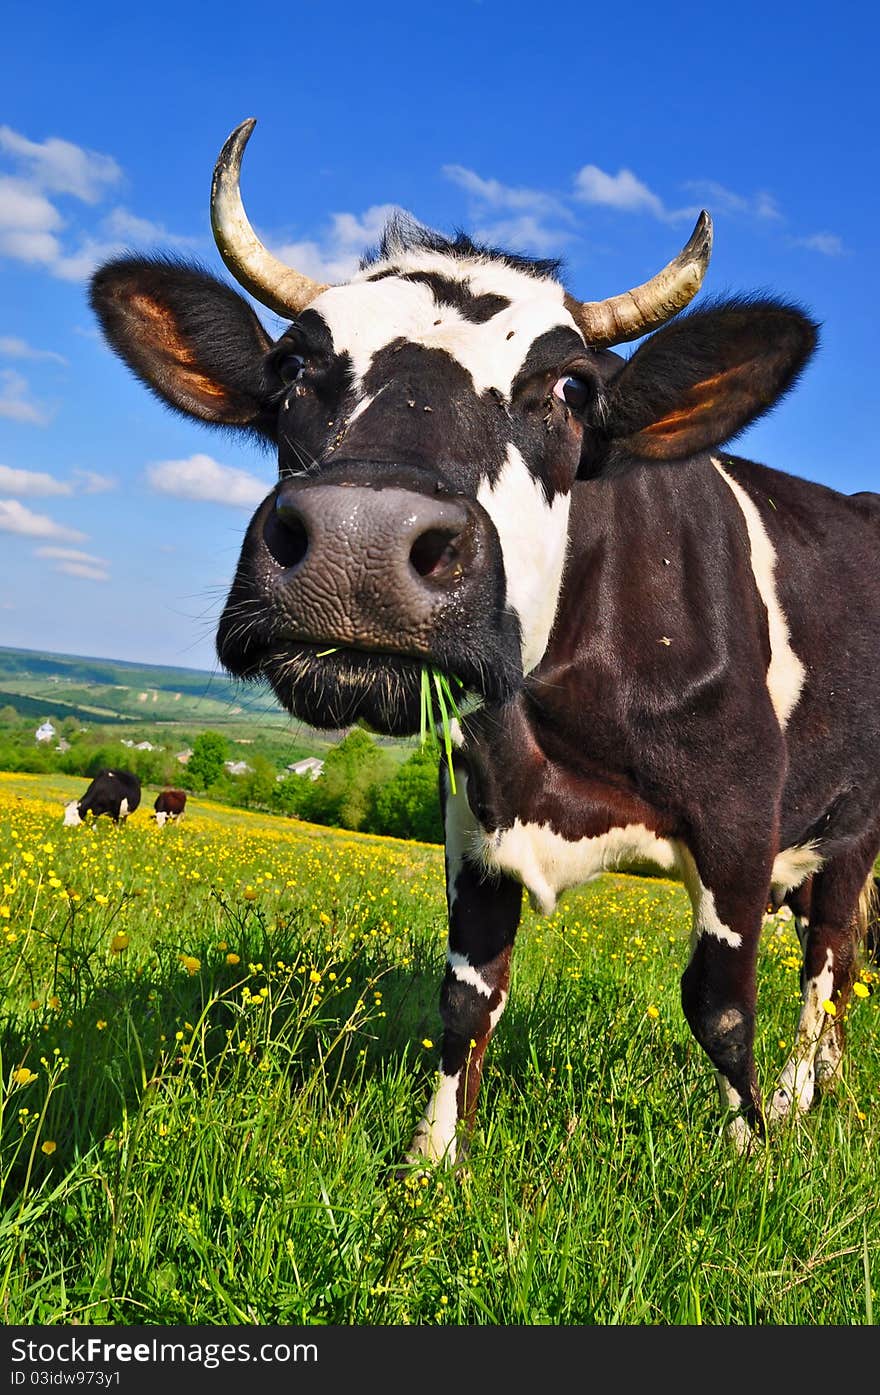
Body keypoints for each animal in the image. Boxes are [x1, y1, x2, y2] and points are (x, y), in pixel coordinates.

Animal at [89, 117, 880, 1166]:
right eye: (292, 368)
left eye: (572, 386)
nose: (361, 543)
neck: (557, 739)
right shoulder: (474, 812)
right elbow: (465, 999)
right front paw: (431, 1162)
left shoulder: (743, 819)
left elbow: (719, 1006)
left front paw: (750, 1154)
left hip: (851, 826)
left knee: (829, 957)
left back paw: (798, 1095)